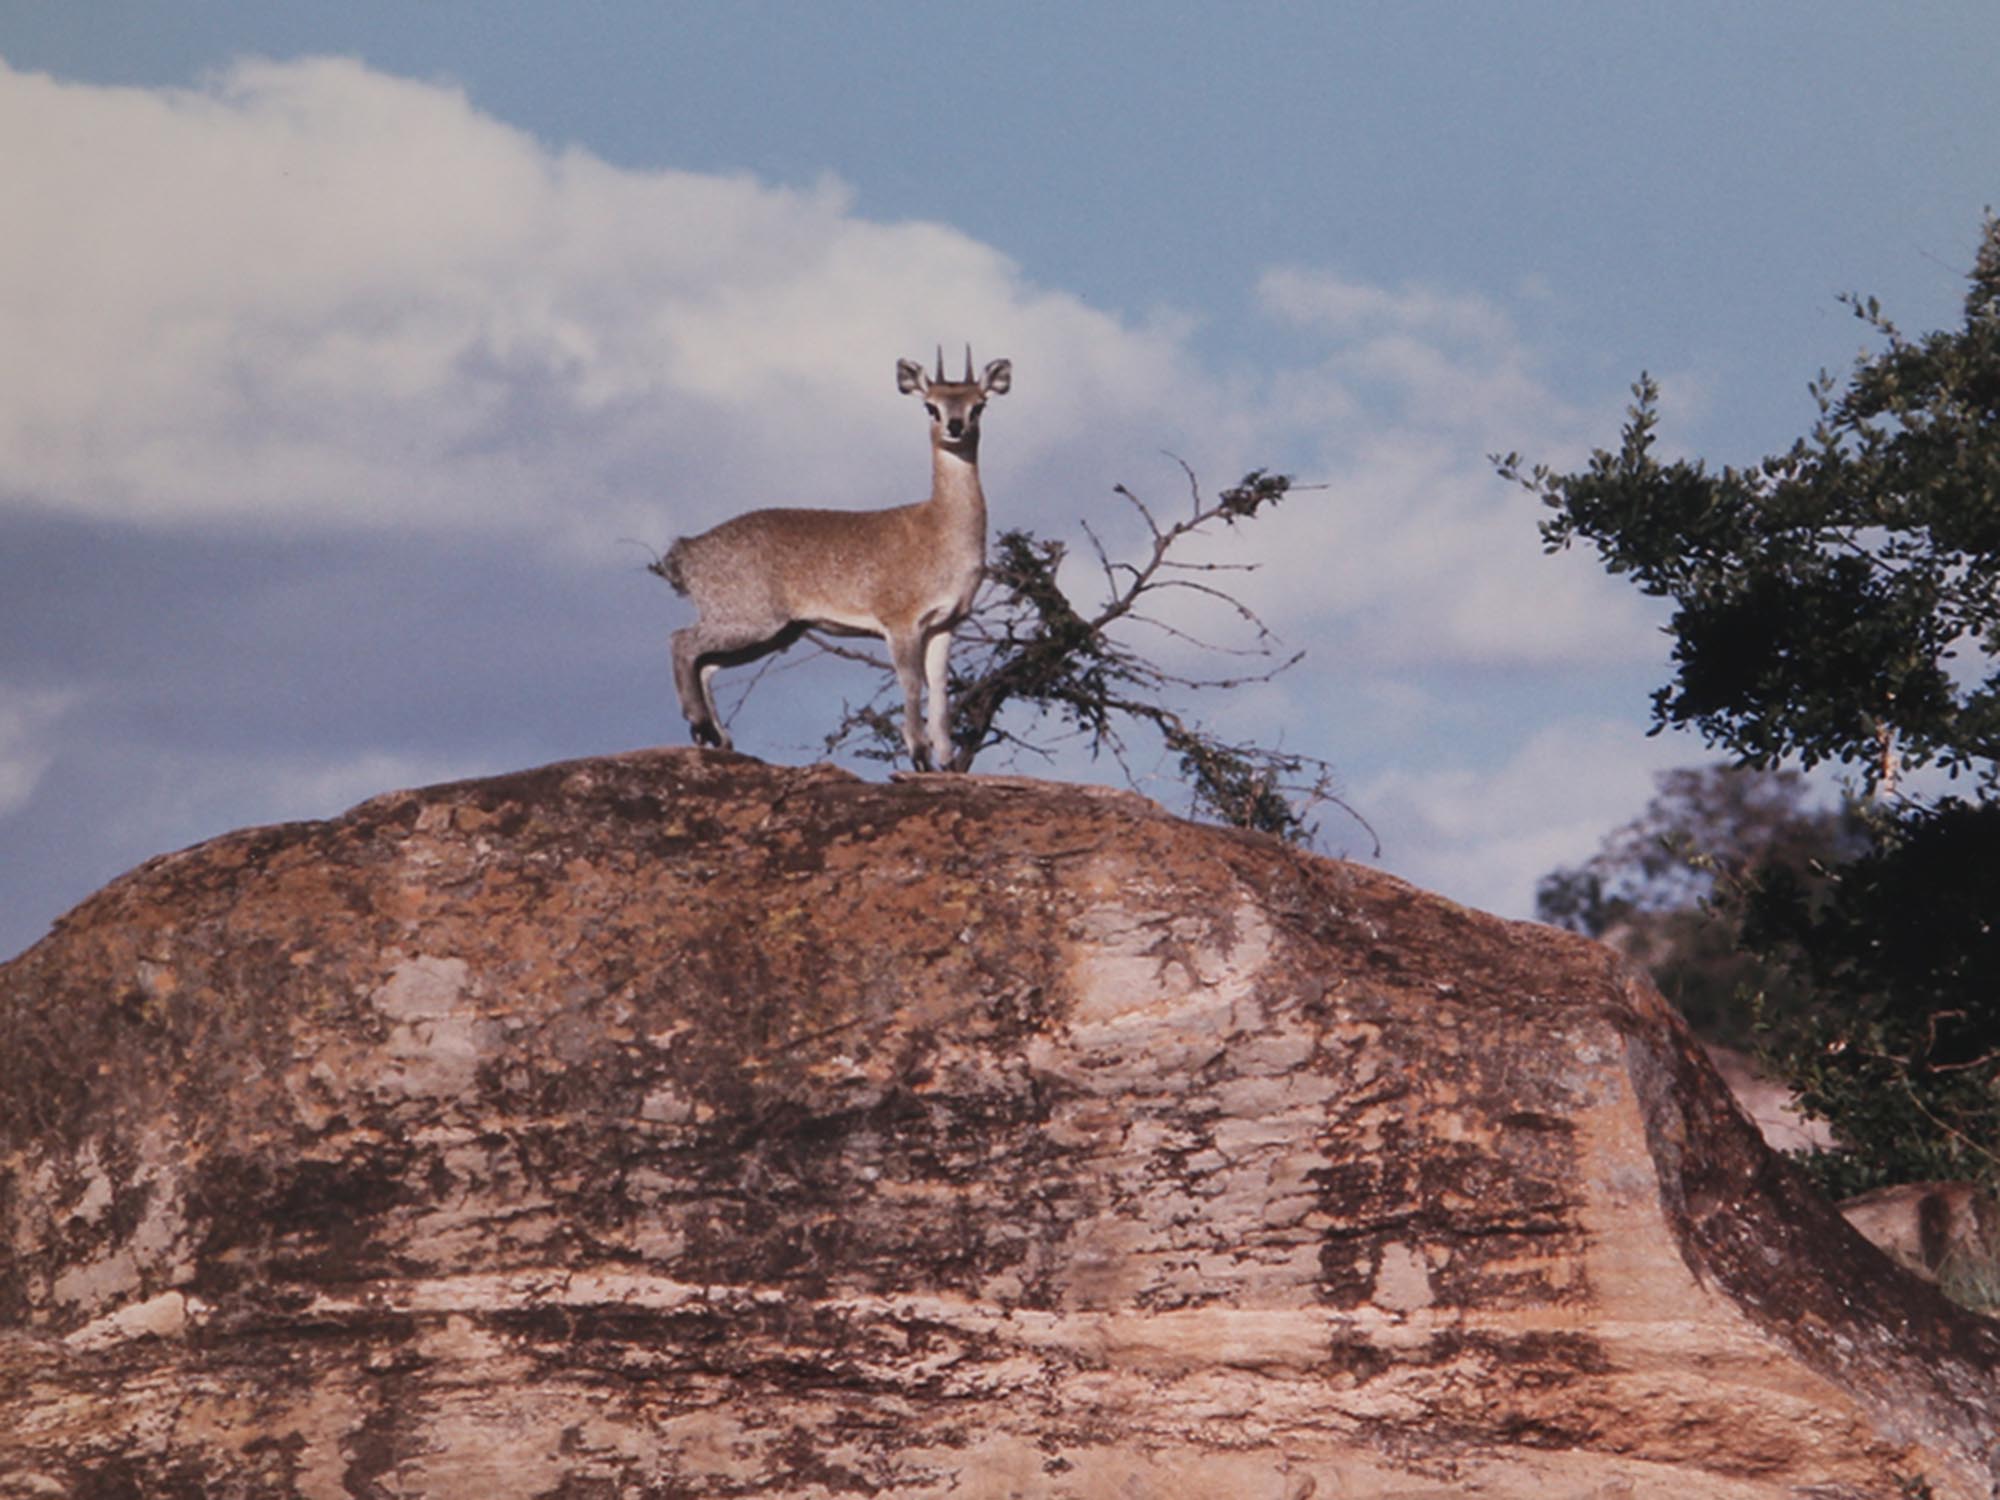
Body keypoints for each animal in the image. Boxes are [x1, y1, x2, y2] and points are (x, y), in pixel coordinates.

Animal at [664, 346, 1016, 768]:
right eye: (930, 406)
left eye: (978, 404)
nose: (956, 426)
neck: (940, 530)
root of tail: (685, 552)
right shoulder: (900, 621)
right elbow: (912, 683)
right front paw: (919, 755)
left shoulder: (944, 623)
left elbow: (940, 688)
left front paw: (945, 763)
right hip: (751, 618)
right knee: (682, 641)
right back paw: (701, 724)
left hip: (773, 631)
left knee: (705, 664)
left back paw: (717, 738)